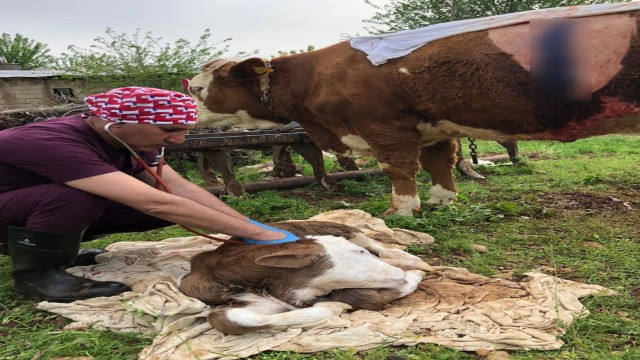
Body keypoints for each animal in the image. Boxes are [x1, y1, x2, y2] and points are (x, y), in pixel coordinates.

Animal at [179, 221, 430, 336]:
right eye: (358, 254)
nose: (400, 275)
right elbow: (221, 318)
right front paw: (332, 307)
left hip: (345, 229)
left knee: (386, 249)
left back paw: (415, 263)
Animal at [188, 4, 640, 214]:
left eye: (197, 89)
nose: (187, 109)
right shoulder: (433, 125)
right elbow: (440, 162)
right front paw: (441, 200)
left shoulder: (384, 126)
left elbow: (399, 168)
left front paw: (401, 209)